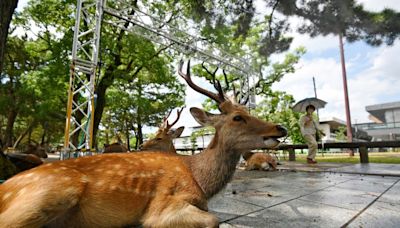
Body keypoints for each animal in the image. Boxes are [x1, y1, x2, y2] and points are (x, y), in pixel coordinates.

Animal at [0, 60, 288, 228]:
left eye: (247, 111)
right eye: (238, 117)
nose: (281, 127)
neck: (199, 180)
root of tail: (5, 190)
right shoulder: (165, 204)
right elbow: (213, 220)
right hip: (50, 192)